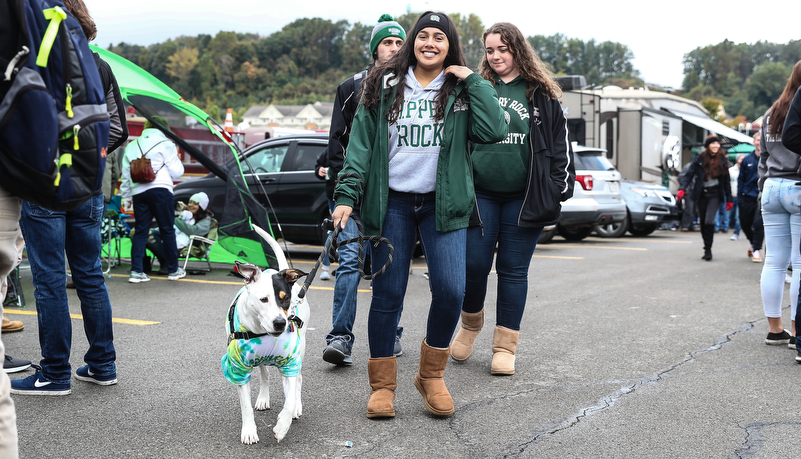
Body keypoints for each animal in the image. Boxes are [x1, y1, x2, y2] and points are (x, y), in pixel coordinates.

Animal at [222, 225, 310, 444]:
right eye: (263, 299)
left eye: (286, 299)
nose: (280, 322)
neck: (262, 331)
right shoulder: (239, 367)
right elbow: (245, 406)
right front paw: (249, 431)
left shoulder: (290, 361)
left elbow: (289, 398)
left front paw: (282, 426)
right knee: (265, 373)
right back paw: (263, 398)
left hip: (300, 348)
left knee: (297, 380)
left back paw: (295, 407)